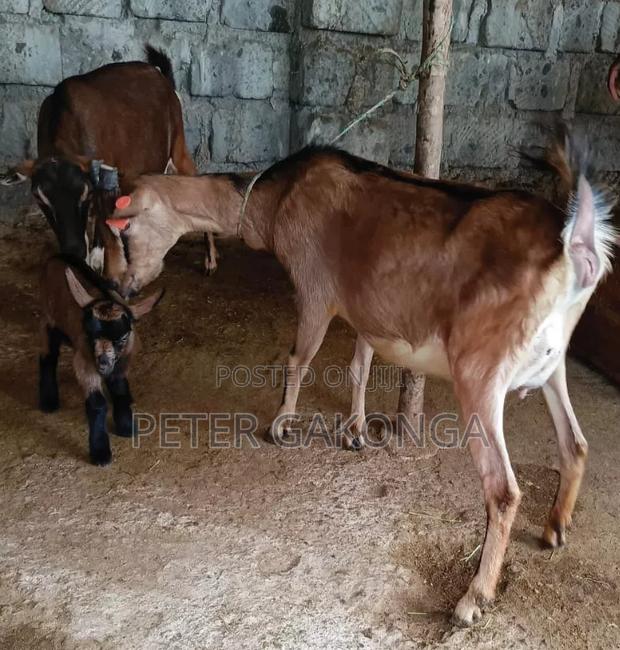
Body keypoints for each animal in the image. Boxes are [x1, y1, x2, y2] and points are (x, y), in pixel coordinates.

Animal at [1, 45, 218, 277]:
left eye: (85, 194)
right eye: (40, 198)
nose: (74, 250)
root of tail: (161, 76)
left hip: (178, 147)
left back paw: (210, 260)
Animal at [39, 255, 163, 466]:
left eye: (122, 338)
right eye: (91, 336)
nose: (103, 363)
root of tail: (55, 258)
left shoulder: (123, 363)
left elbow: (120, 391)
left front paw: (126, 426)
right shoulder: (84, 362)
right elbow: (98, 404)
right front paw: (100, 452)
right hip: (49, 320)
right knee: (48, 357)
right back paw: (48, 401)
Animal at [105, 132, 615, 624]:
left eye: (125, 231)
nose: (122, 288)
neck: (277, 198)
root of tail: (576, 250)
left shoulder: (315, 290)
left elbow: (299, 357)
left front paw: (280, 425)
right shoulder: (365, 306)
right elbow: (360, 366)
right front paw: (354, 431)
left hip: (481, 373)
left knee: (504, 490)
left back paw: (473, 599)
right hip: (553, 364)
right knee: (575, 443)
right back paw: (554, 529)